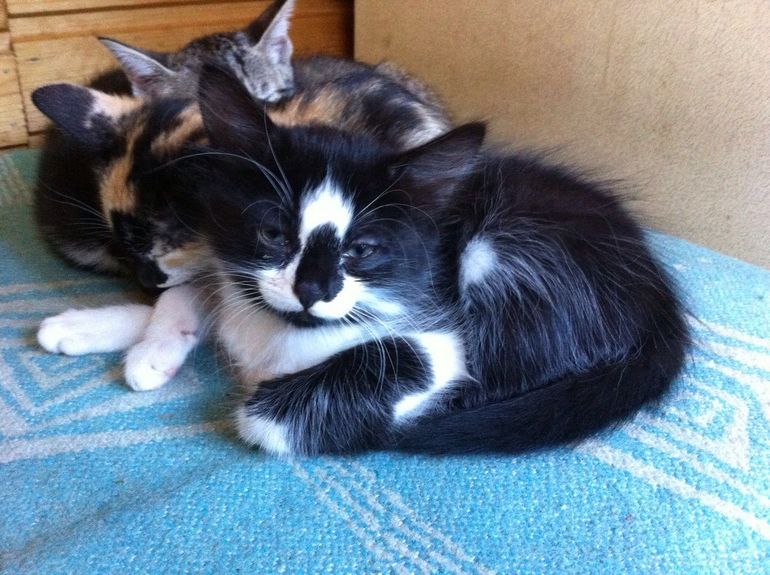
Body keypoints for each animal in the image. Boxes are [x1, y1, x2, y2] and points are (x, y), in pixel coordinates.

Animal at [149, 64, 688, 455]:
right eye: (274, 234)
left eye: (362, 249)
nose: (312, 290)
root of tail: (660, 305)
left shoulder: (440, 334)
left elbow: (416, 361)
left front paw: (276, 412)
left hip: (509, 251)